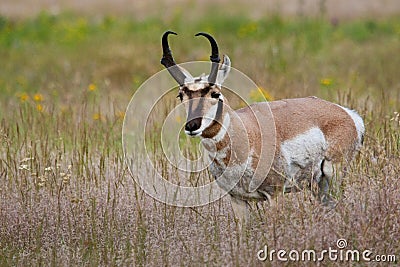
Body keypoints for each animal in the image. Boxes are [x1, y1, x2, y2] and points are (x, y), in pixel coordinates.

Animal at [160, 30, 366, 224]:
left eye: (215, 93)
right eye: (181, 95)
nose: (192, 126)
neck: (246, 134)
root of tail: (347, 113)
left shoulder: (275, 195)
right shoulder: (237, 200)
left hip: (333, 177)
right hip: (318, 186)